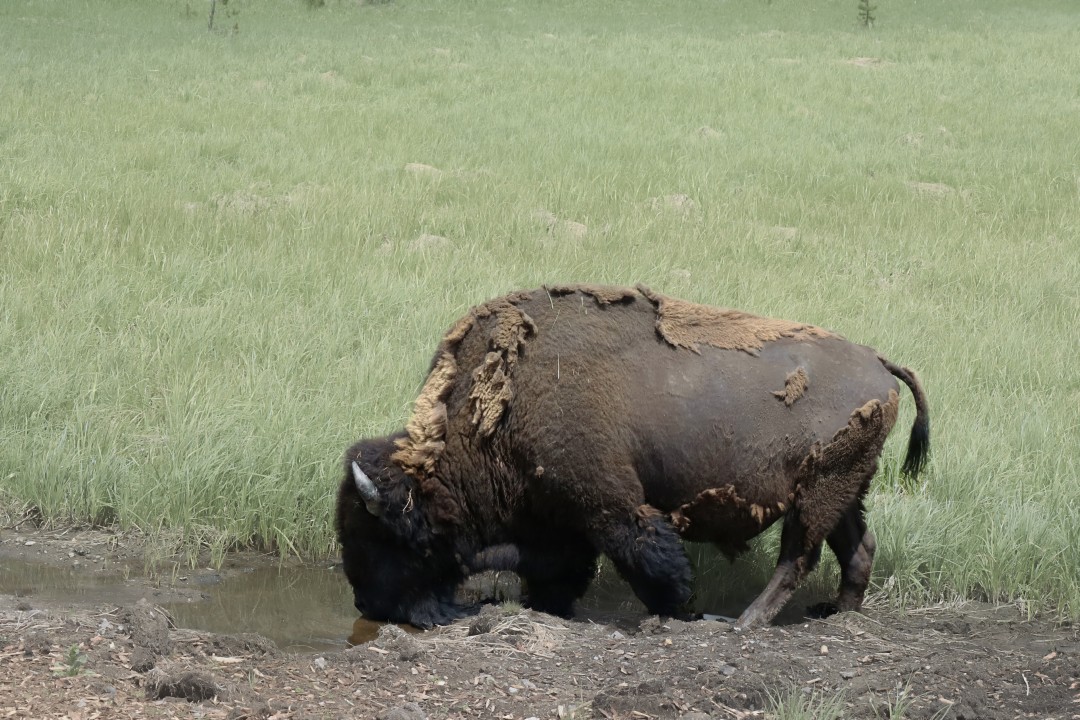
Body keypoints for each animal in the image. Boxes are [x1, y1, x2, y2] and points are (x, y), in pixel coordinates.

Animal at [336, 285, 929, 630]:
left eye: (380, 537)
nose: (365, 605)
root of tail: (878, 361)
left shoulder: (609, 506)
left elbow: (648, 557)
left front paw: (673, 609)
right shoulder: (560, 524)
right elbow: (555, 569)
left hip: (818, 495)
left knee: (797, 558)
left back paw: (744, 624)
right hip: (844, 488)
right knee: (856, 548)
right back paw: (834, 613)